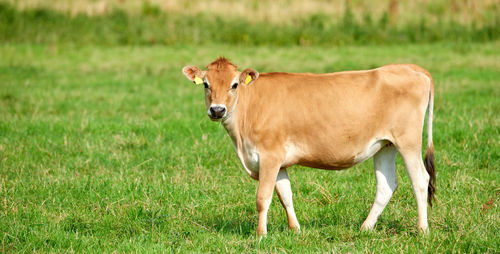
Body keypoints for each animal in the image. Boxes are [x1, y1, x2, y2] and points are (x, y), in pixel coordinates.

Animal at [182, 57, 436, 236]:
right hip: (385, 145)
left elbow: (263, 197)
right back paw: (365, 228)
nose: (217, 110)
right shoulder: (279, 162)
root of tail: (410, 68)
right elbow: (285, 195)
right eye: (206, 84)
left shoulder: (269, 156)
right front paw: (295, 229)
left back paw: (422, 230)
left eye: (234, 85)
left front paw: (260, 234)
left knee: (420, 179)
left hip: (408, 141)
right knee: (387, 185)